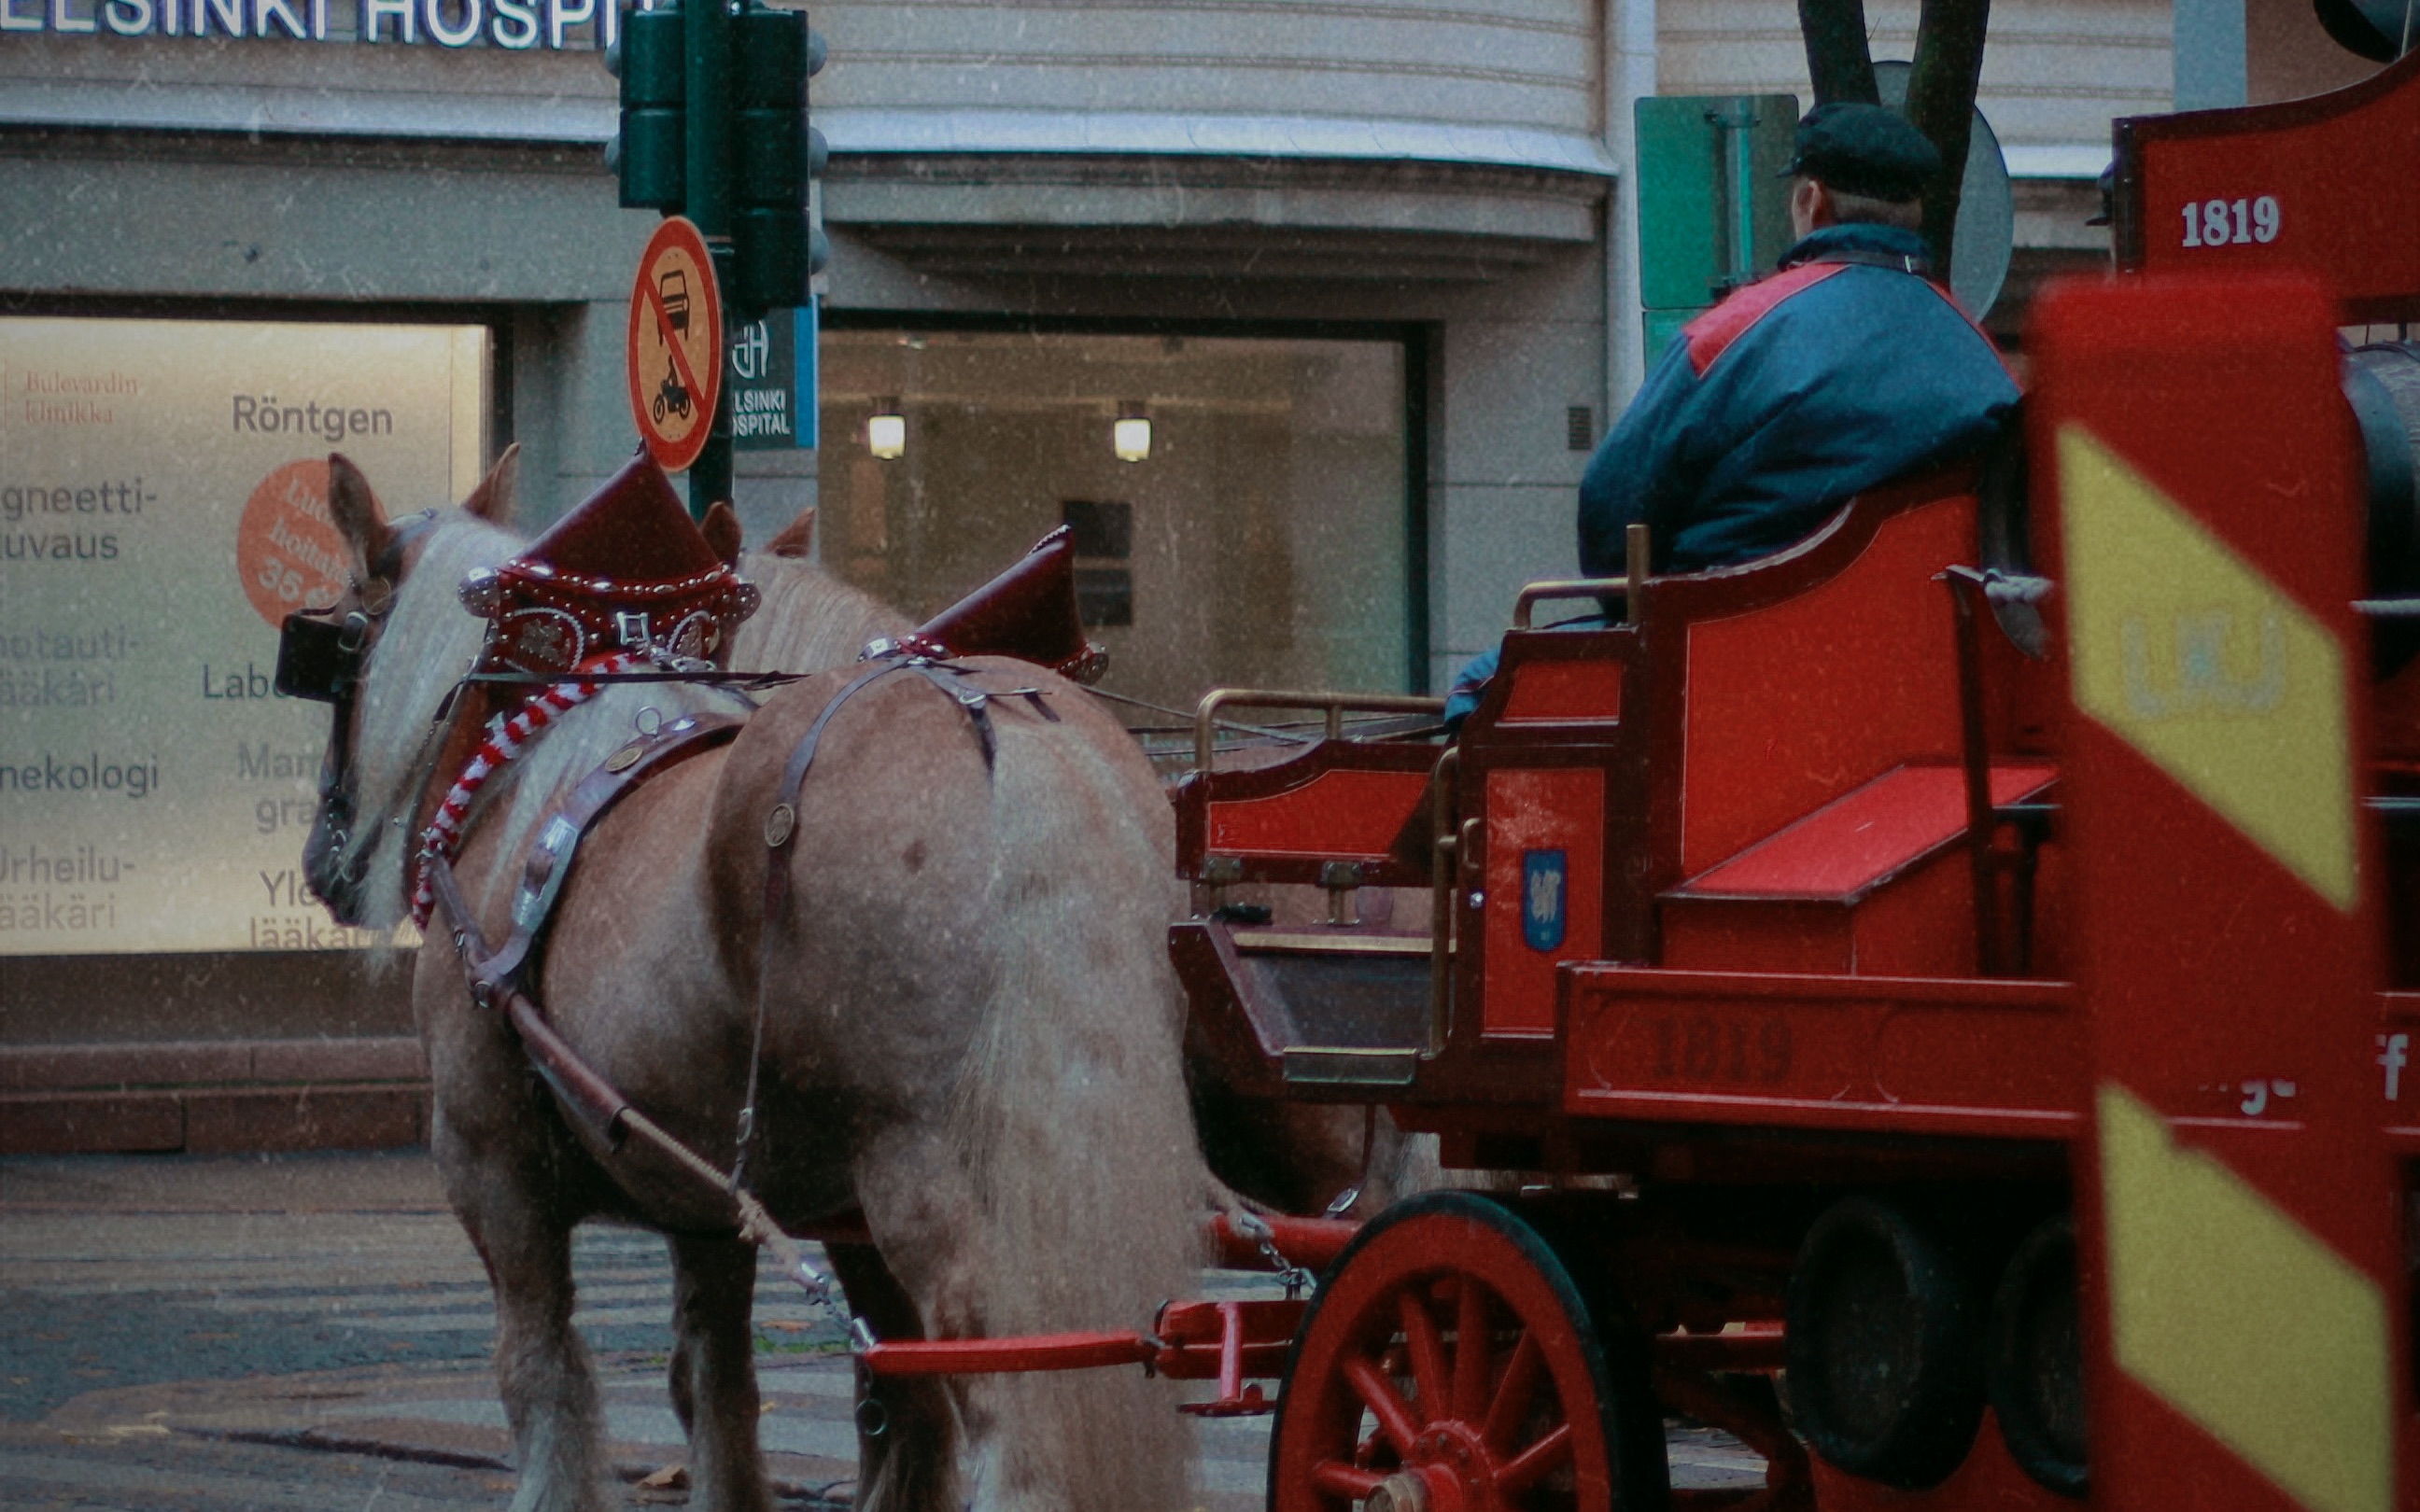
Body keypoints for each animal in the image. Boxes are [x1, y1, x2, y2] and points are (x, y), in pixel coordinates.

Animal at [300, 456, 1200, 1509]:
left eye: (334, 646)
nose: (322, 861)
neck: (530, 778)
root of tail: (997, 721)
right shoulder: (707, 1196)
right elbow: (728, 1388)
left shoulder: (492, 1170)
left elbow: (544, 1379)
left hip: (924, 1172)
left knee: (1007, 1393)